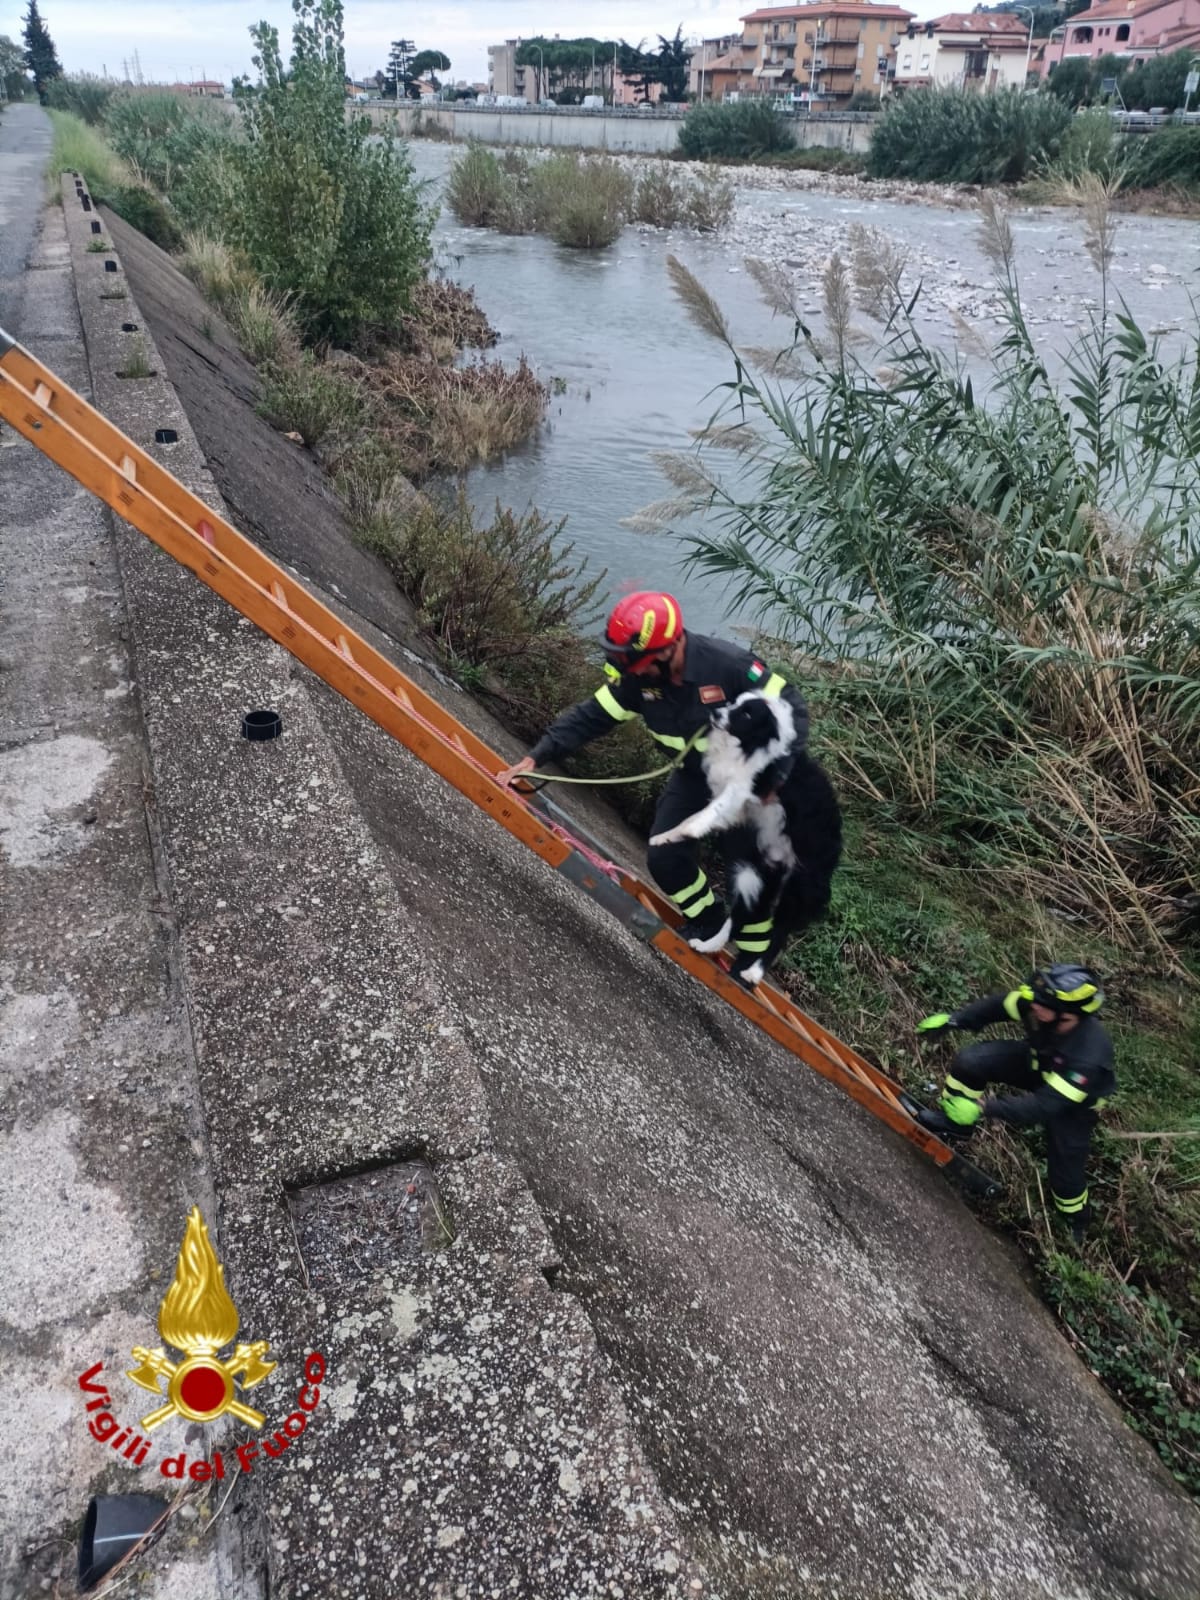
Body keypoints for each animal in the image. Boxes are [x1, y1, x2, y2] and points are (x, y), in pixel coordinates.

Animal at [652, 691, 838, 985]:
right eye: (735, 703)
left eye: (748, 714)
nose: (715, 714)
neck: (751, 744)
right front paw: (666, 837)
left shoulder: (742, 789)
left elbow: (706, 813)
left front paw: (684, 831)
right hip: (753, 877)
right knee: (740, 919)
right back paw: (708, 946)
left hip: (794, 888)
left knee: (778, 933)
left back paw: (753, 972)